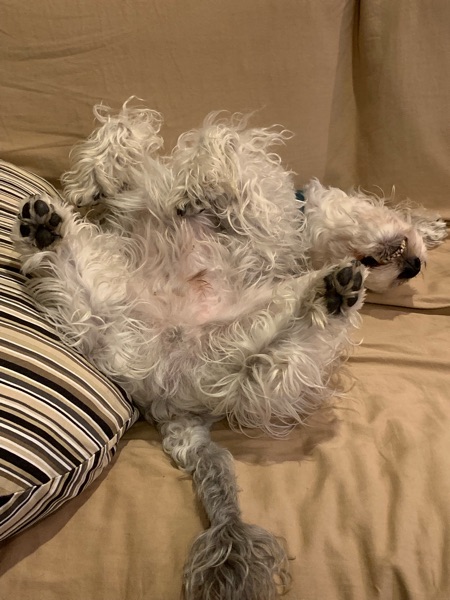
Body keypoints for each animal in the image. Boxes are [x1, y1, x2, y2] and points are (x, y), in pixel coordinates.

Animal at [13, 102, 446, 600]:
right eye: (384, 259)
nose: (412, 266)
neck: (305, 220)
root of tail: (170, 407)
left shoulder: (266, 226)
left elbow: (218, 141)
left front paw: (195, 185)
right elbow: (123, 131)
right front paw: (91, 180)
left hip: (263, 343)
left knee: (280, 347)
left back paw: (327, 298)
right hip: (101, 305)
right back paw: (47, 231)